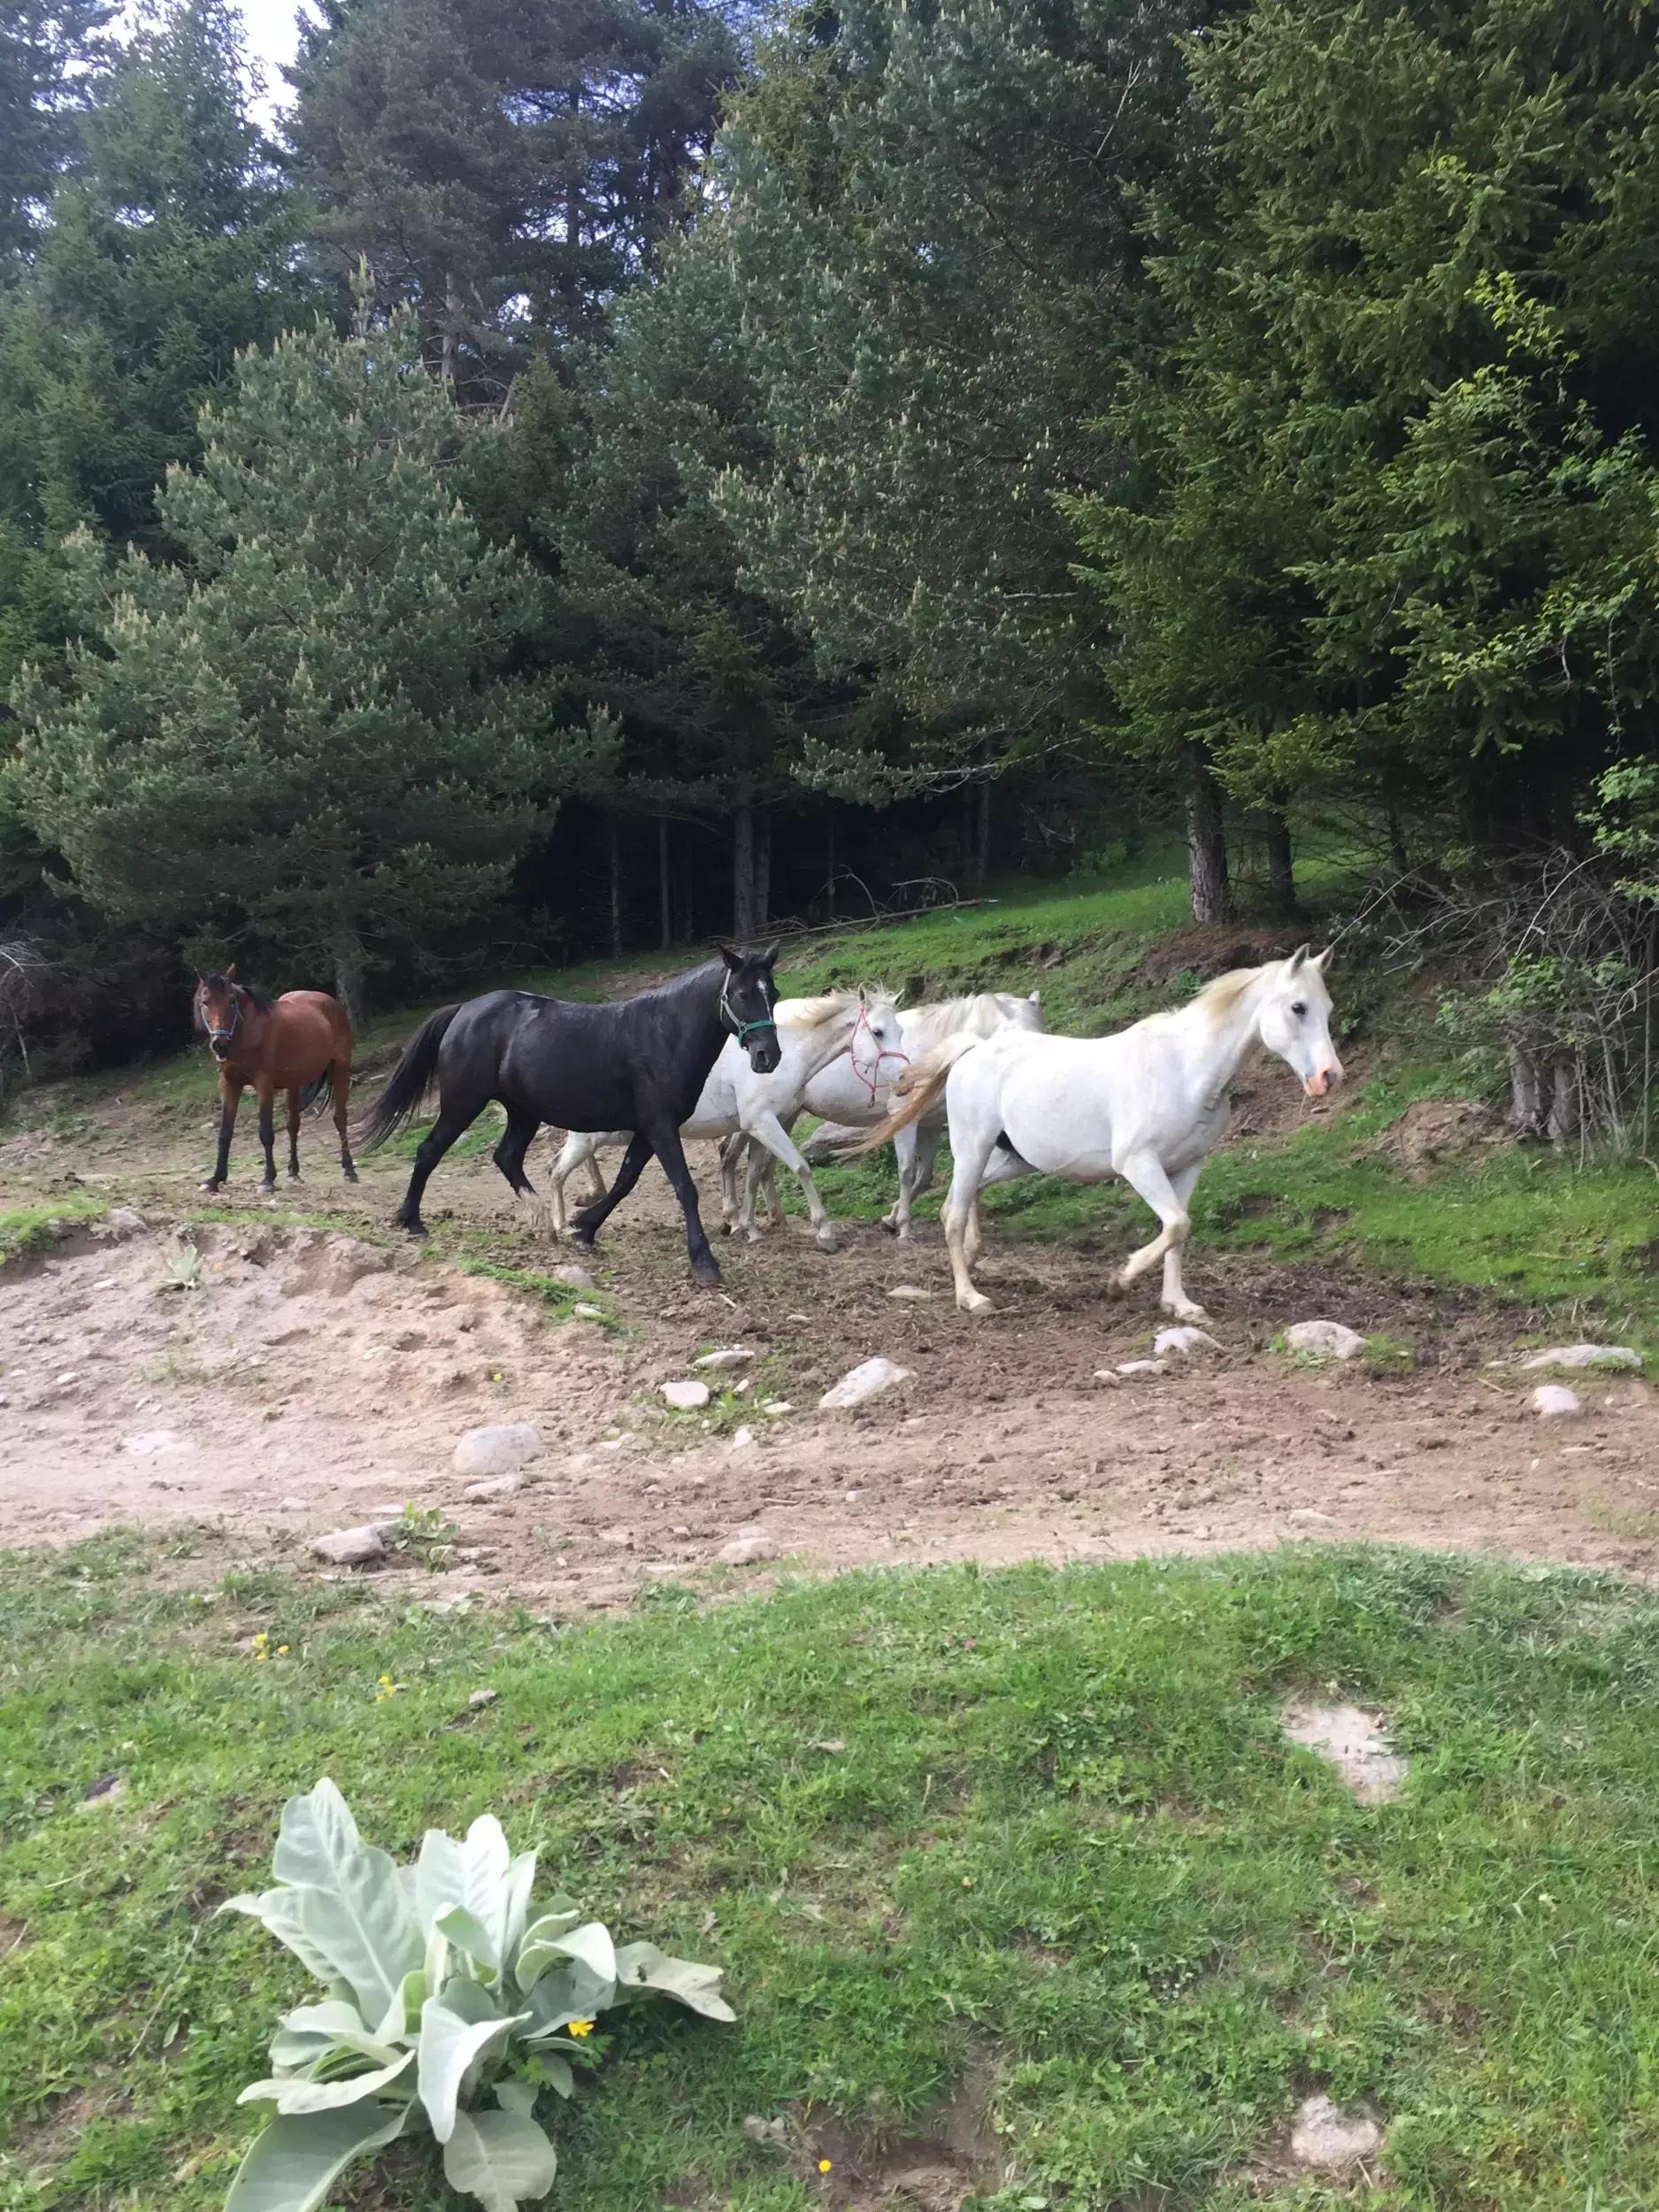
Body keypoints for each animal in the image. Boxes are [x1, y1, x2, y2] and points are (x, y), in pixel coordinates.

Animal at [195, 973, 358, 1194]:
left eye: (232, 1001)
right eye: (205, 1002)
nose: (220, 1044)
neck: (247, 1033)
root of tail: (329, 1001)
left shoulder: (263, 1083)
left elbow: (266, 1132)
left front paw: (267, 1180)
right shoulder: (229, 1084)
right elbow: (224, 1133)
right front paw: (215, 1179)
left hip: (340, 1071)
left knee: (340, 1119)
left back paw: (349, 1170)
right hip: (294, 1084)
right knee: (293, 1124)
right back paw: (294, 1173)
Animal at [354, 947, 783, 1283]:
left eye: (773, 992)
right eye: (742, 993)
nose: (768, 1056)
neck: (663, 1035)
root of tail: (464, 1011)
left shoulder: (648, 1130)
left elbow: (624, 1182)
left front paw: (582, 1230)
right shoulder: (660, 1127)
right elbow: (684, 1188)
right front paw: (705, 1263)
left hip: (523, 1112)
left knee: (506, 1157)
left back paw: (544, 1223)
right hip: (463, 1104)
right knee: (430, 1151)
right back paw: (412, 1222)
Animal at [546, 995, 911, 1256]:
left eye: (900, 1031)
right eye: (877, 1032)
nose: (904, 1079)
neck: (787, 1058)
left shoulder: (763, 1126)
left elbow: (753, 1173)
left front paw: (749, 1228)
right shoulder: (762, 1123)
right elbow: (800, 1167)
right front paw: (824, 1232)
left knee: (556, 1168)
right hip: (589, 1140)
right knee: (556, 1172)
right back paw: (560, 1227)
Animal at [743, 991, 1053, 1239]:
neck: (937, 1049)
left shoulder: (930, 1123)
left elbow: (924, 1176)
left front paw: (891, 1218)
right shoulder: (905, 1119)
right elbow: (906, 1171)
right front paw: (904, 1227)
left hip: (788, 1114)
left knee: (765, 1166)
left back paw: (774, 1218)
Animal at [849, 947, 1345, 1310]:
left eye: (1327, 1008)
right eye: (1298, 1007)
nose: (1329, 1077)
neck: (1185, 1069)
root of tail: (973, 1048)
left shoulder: (1187, 1167)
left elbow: (1180, 1231)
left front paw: (1179, 1305)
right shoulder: (1138, 1163)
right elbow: (1176, 1226)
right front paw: (1119, 1281)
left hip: (1014, 1159)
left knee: (972, 1193)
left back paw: (973, 1257)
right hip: (972, 1146)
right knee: (951, 1211)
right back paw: (971, 1297)